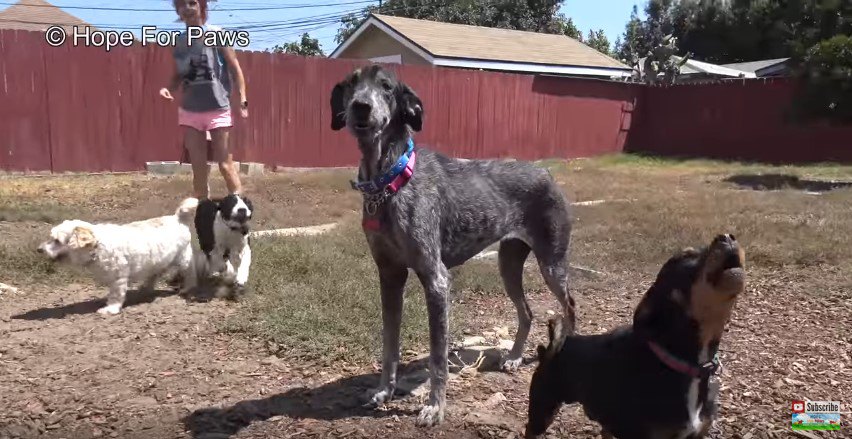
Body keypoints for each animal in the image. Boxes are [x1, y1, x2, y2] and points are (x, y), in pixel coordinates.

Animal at [40, 198, 201, 314]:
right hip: (158, 260)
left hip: (183, 258)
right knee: (155, 273)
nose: (39, 250)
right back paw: (145, 288)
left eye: (57, 241)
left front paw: (110, 309)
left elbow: (116, 294)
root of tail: (177, 218)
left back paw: (187, 287)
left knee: (190, 272)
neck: (98, 245)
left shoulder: (118, 278)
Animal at [330, 63, 576, 428]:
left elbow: (437, 357)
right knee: (528, 312)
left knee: (570, 307)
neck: (390, 178)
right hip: (509, 264)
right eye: (350, 84)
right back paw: (515, 357)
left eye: (387, 87)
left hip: (552, 265)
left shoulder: (437, 280)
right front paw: (384, 392)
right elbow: (389, 345)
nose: (361, 107)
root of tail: (547, 173)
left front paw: (435, 407)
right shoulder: (390, 275)